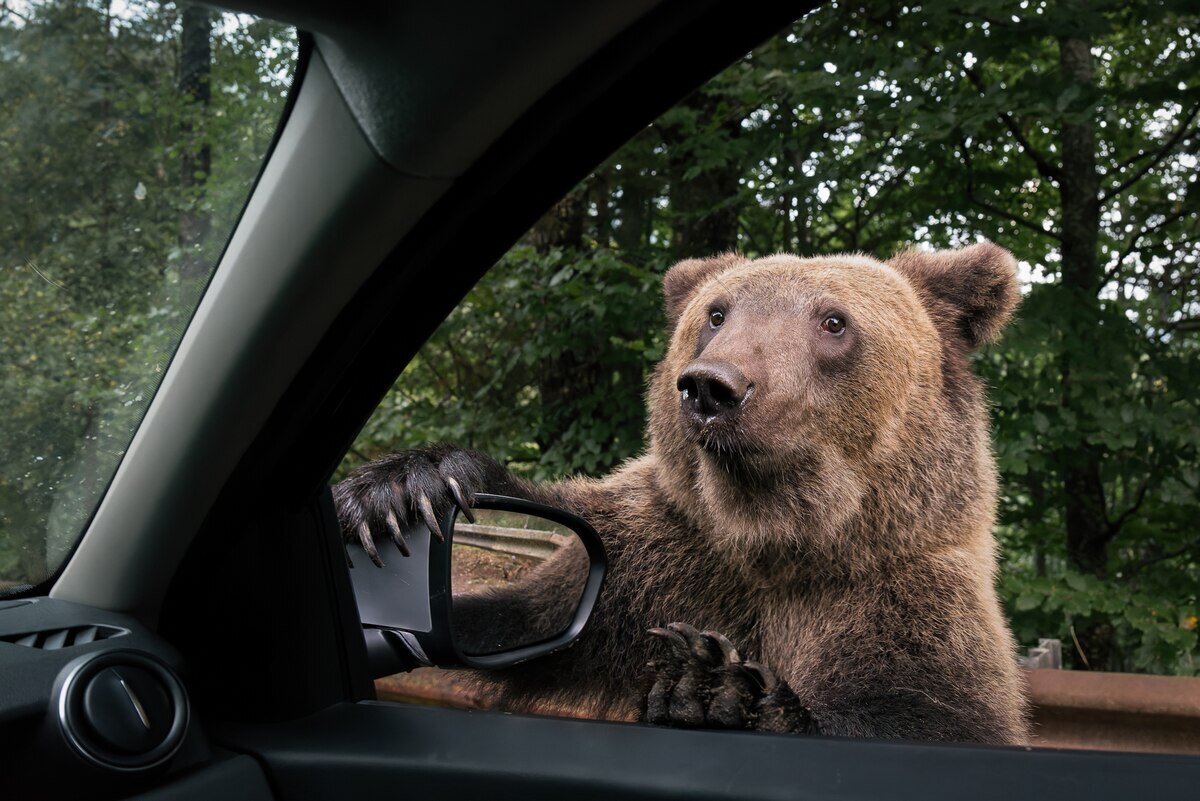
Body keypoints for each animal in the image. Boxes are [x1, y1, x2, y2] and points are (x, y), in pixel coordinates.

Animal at [336, 242, 1032, 743]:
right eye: (717, 313)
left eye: (834, 321)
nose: (712, 385)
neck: (770, 535)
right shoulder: (645, 563)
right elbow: (516, 620)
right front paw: (400, 492)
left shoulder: (900, 608)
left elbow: (929, 718)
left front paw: (715, 687)